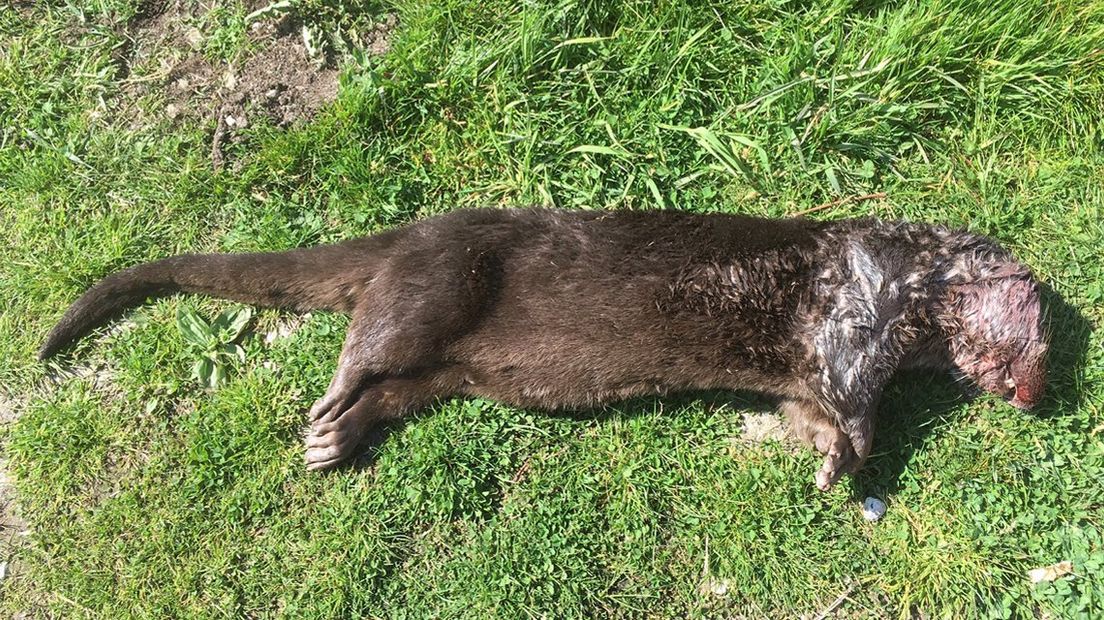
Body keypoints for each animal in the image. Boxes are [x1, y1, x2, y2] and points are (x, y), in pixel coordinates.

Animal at [38, 207, 1046, 487]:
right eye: (1041, 340)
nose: (1040, 394)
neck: (905, 284)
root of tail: (410, 233)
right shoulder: (854, 310)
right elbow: (851, 399)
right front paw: (856, 457)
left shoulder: (824, 365)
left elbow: (808, 410)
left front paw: (820, 459)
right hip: (434, 285)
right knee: (365, 345)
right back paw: (327, 407)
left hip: (446, 365)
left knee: (394, 390)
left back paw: (333, 440)